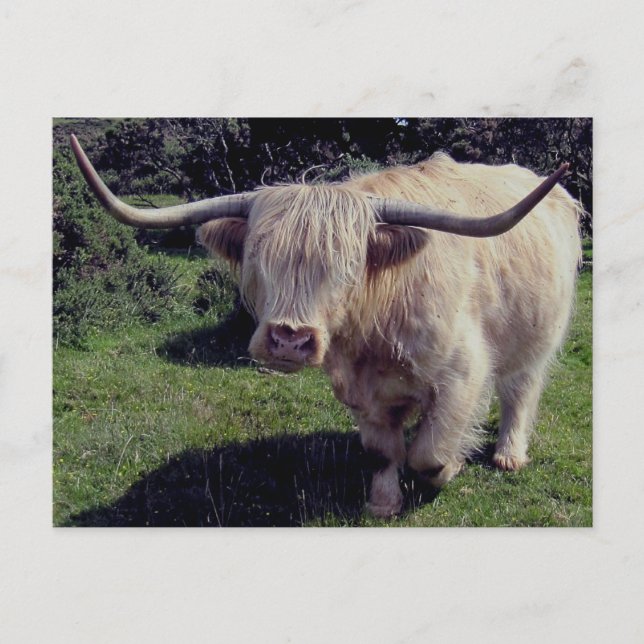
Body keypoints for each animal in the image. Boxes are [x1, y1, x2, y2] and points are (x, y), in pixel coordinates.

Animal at [70, 134, 582, 517]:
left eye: (347, 266)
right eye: (258, 256)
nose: (288, 340)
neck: (375, 329)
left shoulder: (461, 372)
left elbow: (429, 452)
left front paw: (448, 470)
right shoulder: (361, 391)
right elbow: (383, 451)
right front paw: (383, 503)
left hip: (537, 339)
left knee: (520, 393)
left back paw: (509, 454)